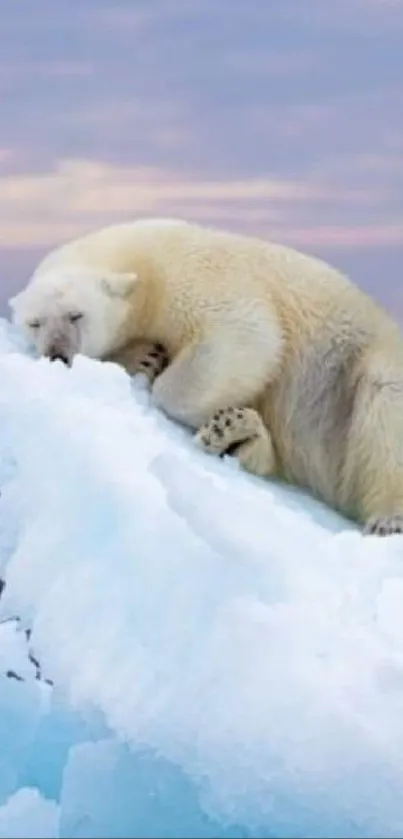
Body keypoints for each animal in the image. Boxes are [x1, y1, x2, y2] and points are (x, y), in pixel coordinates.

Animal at [9, 213, 403, 536]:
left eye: (76, 315)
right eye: (35, 323)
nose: (56, 355)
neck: (144, 264)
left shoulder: (194, 279)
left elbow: (247, 336)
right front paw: (144, 358)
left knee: (384, 396)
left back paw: (387, 518)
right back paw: (236, 433)